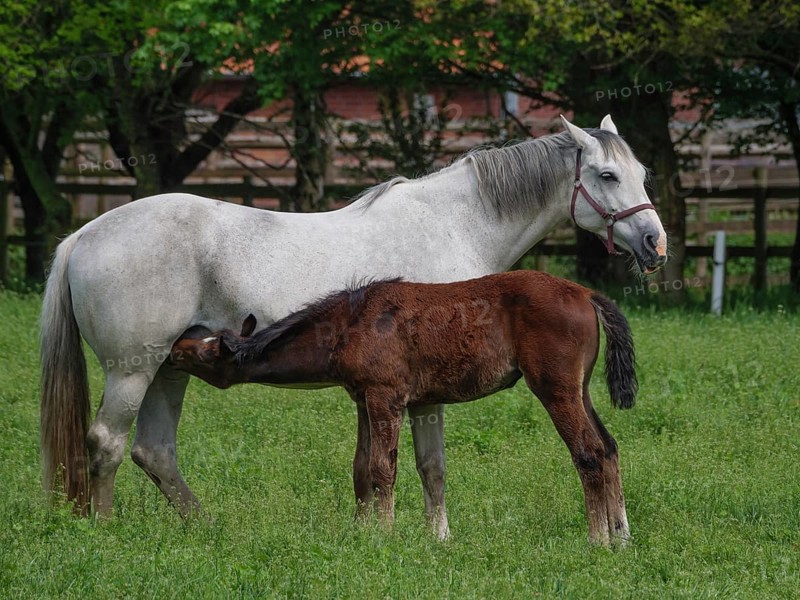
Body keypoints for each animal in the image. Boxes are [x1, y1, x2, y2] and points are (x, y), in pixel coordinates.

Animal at [167, 270, 637, 546]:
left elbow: (382, 469)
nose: (174, 348)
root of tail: (586, 292)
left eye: (206, 351)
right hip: (580, 390)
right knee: (610, 448)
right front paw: (360, 532)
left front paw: (384, 536)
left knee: (588, 454)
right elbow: (360, 468)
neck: (349, 325)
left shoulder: (386, 397)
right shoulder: (364, 400)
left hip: (555, 389)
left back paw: (597, 540)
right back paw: (622, 536)